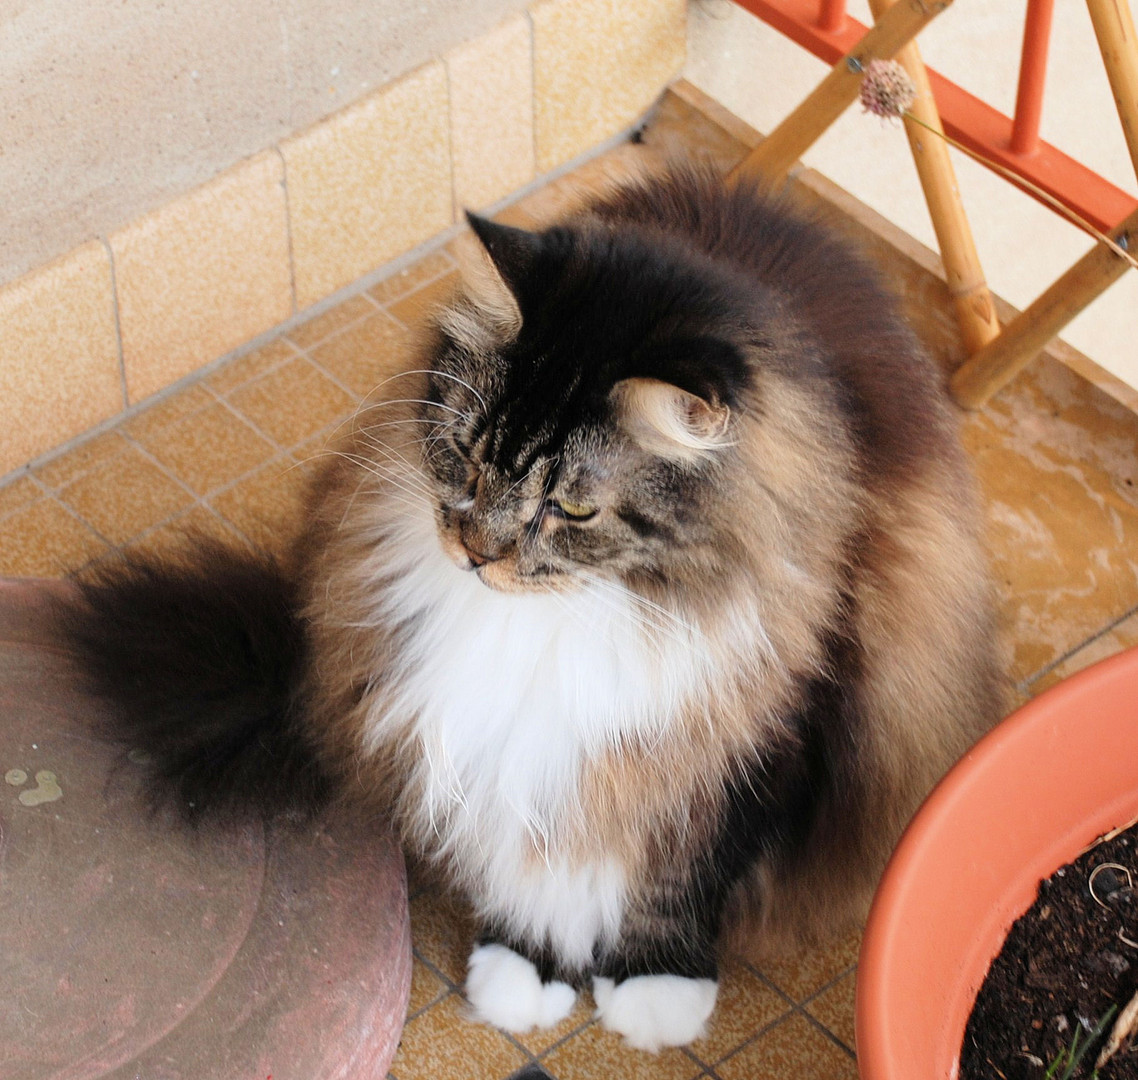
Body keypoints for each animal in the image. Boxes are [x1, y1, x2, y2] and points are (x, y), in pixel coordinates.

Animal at [60, 163, 1005, 1051]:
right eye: (467, 452)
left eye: (573, 507)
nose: (478, 552)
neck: (563, 619)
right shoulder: (494, 740)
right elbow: (516, 847)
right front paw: (526, 966)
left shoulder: (748, 742)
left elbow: (679, 877)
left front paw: (655, 992)